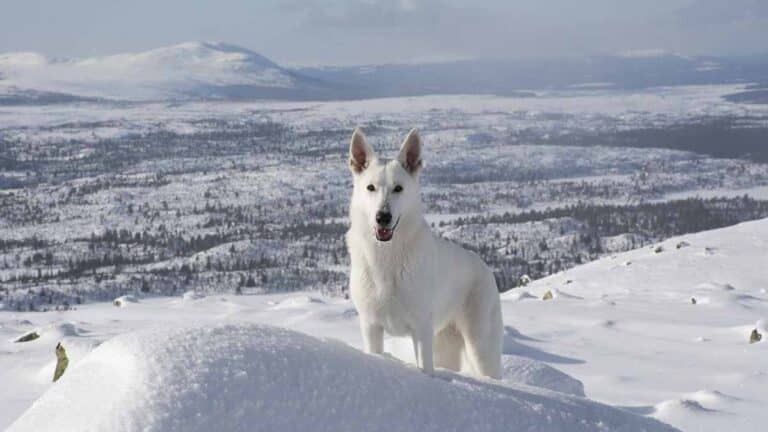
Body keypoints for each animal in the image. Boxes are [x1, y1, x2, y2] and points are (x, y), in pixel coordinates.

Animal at [344, 127, 500, 378]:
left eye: (398, 188)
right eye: (370, 188)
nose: (382, 217)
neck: (387, 257)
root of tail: (483, 266)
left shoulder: (421, 330)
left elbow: (424, 370)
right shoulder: (371, 326)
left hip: (481, 347)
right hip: (446, 346)